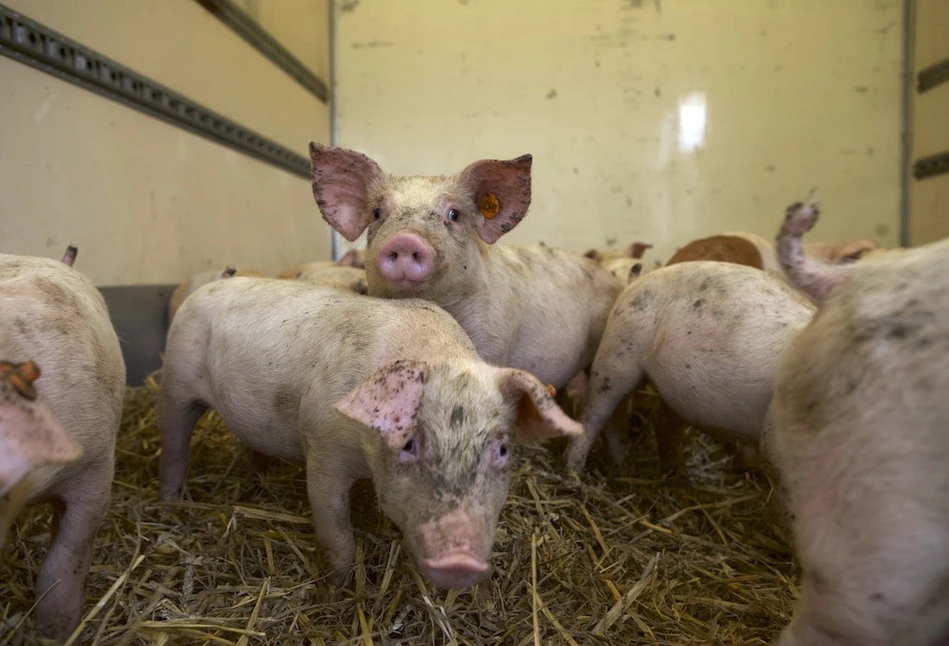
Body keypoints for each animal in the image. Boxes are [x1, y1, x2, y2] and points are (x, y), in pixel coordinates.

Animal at [157, 278, 576, 592]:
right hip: (175, 380)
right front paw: (338, 588)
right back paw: (171, 503)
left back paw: (257, 479)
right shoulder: (322, 448)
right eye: (408, 442)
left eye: (502, 449)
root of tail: (206, 287)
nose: (459, 556)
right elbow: (336, 529)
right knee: (174, 447)